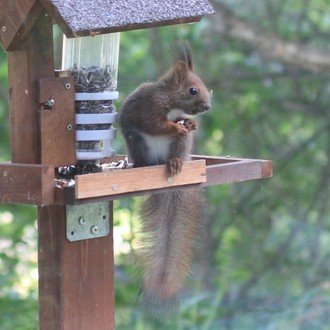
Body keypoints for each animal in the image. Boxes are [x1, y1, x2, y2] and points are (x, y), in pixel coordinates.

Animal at [118, 41, 211, 312]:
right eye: (192, 90)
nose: (207, 107)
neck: (173, 104)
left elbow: (182, 124)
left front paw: (189, 124)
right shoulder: (149, 107)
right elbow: (155, 124)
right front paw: (176, 125)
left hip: (180, 146)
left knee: (177, 152)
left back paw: (176, 162)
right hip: (139, 143)